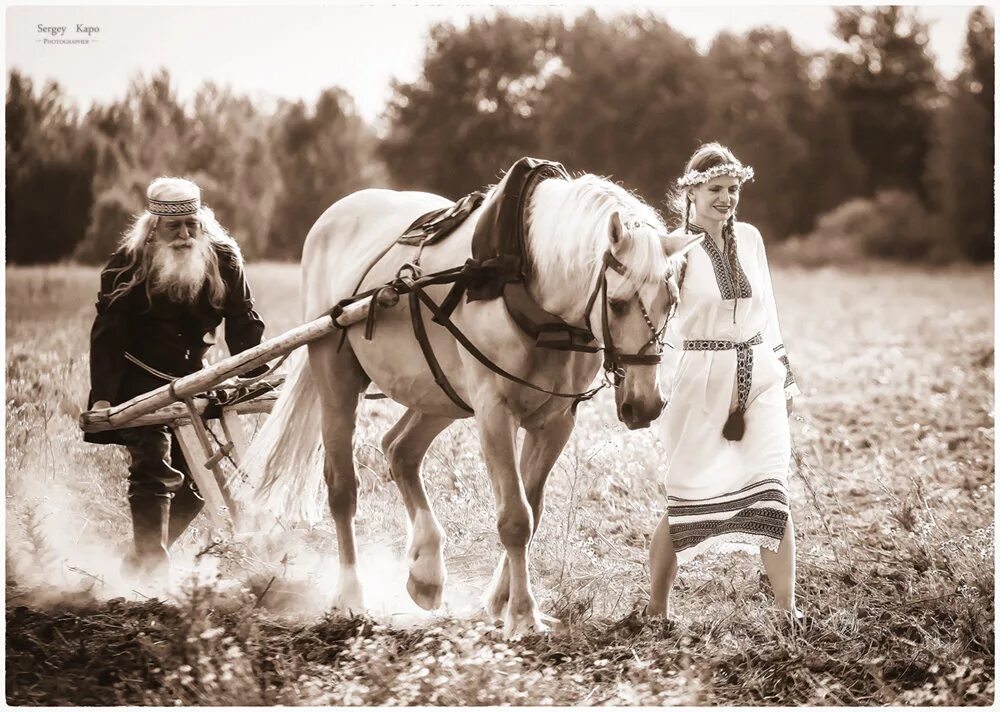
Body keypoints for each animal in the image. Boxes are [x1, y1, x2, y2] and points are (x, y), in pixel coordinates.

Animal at [237, 170, 700, 636]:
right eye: (618, 304)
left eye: (672, 302)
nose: (645, 405)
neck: (524, 279)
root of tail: (335, 213)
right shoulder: (494, 412)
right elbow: (515, 518)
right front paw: (522, 615)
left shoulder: (555, 422)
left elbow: (532, 510)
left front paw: (499, 601)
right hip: (337, 377)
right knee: (342, 488)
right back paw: (350, 595)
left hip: (441, 394)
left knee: (399, 450)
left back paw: (426, 572)